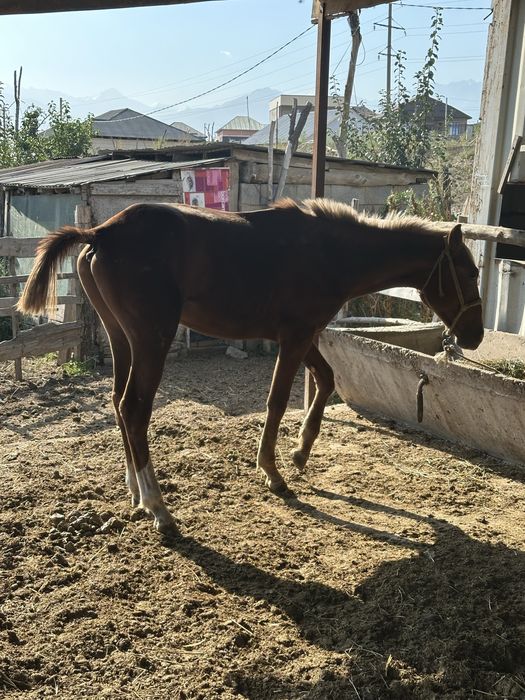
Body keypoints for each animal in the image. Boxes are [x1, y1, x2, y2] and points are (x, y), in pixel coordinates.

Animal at [18, 198, 484, 534]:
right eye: (470, 271)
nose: (474, 336)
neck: (331, 251)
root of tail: (102, 232)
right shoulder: (295, 337)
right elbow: (277, 401)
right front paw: (273, 473)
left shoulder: (300, 336)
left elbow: (326, 378)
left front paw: (299, 452)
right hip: (151, 339)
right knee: (134, 407)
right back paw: (158, 508)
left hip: (121, 337)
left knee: (117, 402)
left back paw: (135, 493)